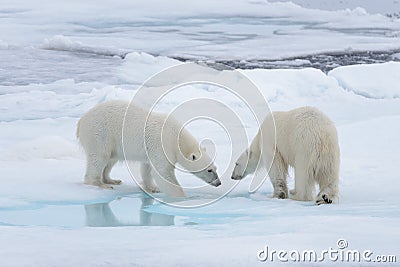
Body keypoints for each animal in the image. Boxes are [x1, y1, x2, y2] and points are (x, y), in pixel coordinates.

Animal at [76, 100, 220, 197]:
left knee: (111, 159)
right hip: (100, 133)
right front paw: (181, 196)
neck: (176, 137)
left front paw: (152, 188)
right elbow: (163, 172)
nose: (218, 183)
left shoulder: (151, 149)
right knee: (99, 157)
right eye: (209, 170)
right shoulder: (162, 145)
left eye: (215, 168)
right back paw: (101, 184)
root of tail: (81, 120)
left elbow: (147, 168)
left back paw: (112, 180)